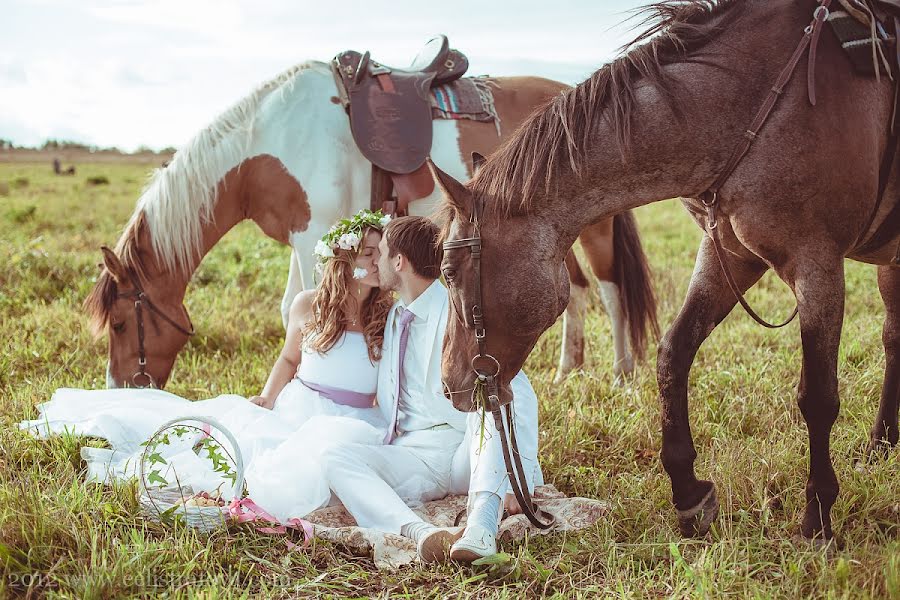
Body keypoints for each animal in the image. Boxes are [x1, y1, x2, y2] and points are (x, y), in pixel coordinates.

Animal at [84, 59, 656, 390]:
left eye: (120, 324)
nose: (122, 389)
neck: (268, 142)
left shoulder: (313, 235)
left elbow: (313, 311)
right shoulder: (301, 239)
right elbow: (293, 307)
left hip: (597, 225)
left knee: (610, 292)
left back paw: (622, 375)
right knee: (575, 290)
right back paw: (567, 370)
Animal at [436, 0, 900, 544]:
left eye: (449, 270)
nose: (449, 385)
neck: (750, 104)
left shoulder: (818, 267)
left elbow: (818, 397)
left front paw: (818, 516)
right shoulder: (729, 256)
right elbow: (672, 353)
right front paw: (689, 492)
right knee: (894, 338)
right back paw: (882, 442)